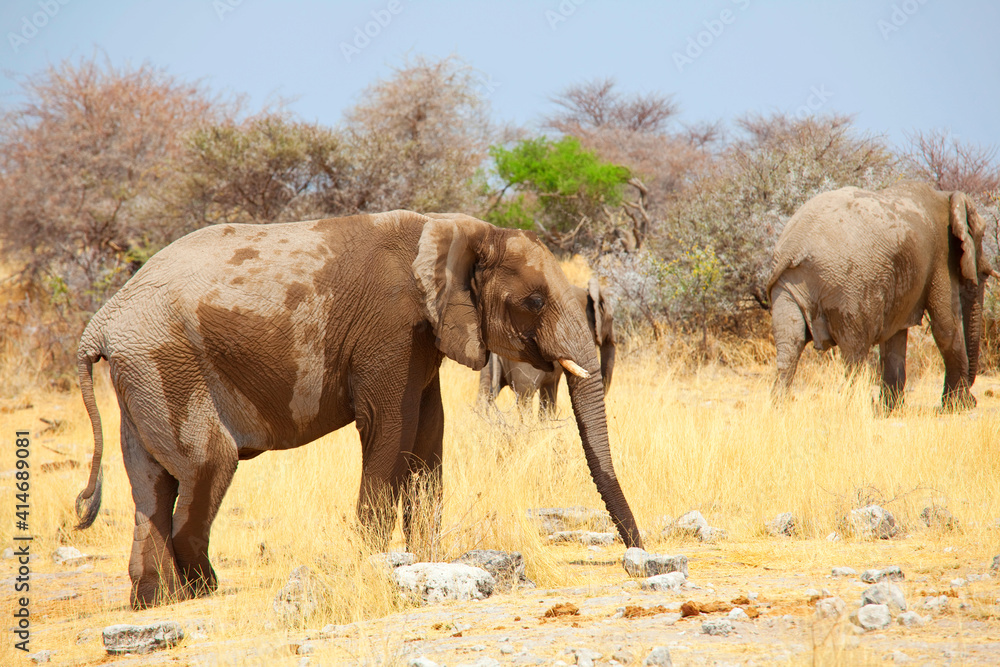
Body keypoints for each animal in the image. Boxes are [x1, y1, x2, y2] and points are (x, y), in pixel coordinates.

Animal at [767, 181, 997, 411]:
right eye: (982, 235)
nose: (974, 398)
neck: (947, 197)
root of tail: (794, 246)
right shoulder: (941, 255)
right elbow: (946, 327)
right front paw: (960, 406)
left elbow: (895, 337)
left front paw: (891, 410)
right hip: (846, 288)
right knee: (854, 350)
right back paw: (855, 407)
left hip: (787, 287)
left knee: (791, 343)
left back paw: (780, 407)